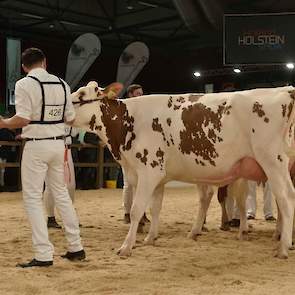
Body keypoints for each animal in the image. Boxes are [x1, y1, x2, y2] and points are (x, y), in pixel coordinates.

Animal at [71, 82, 295, 260]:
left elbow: (136, 210)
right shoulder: (157, 176)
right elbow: (155, 208)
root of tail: (285, 90)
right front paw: (150, 238)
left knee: (286, 198)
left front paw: (126, 247)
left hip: (273, 161)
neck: (129, 122)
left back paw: (283, 247)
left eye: (81, 96)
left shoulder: (148, 172)